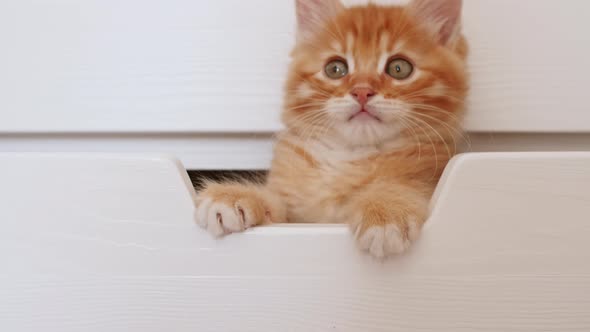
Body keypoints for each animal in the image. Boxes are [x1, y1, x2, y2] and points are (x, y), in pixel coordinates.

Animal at [197, 0, 470, 258]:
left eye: (399, 68)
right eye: (335, 69)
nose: (362, 91)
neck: (350, 159)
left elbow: (401, 188)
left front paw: (385, 210)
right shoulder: (296, 216)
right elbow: (277, 204)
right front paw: (235, 197)